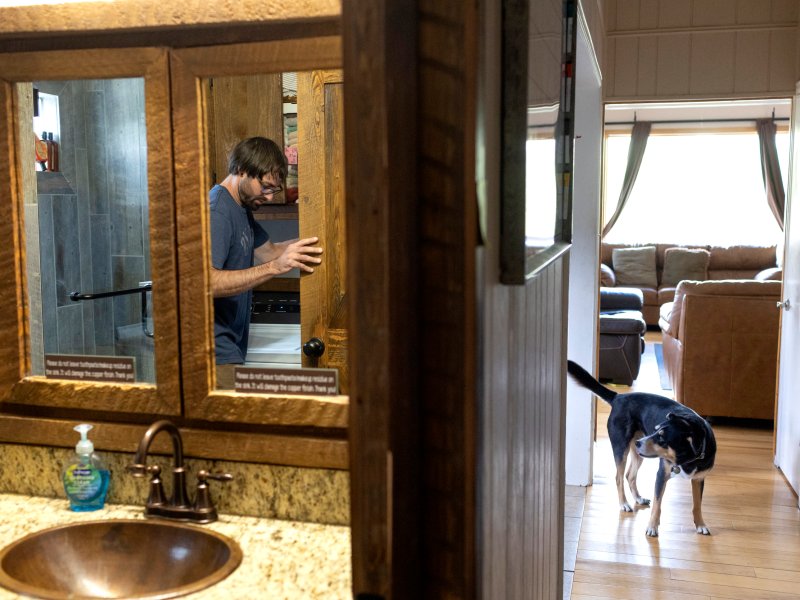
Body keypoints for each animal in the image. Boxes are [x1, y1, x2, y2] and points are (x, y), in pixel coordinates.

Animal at [564, 358, 716, 536]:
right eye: (656, 429)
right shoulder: (661, 474)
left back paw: (638, 498)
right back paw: (624, 504)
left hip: (638, 454)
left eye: (662, 438)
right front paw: (652, 527)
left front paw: (701, 524)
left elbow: (697, 505)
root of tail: (618, 397)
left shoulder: (698, 479)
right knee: (619, 477)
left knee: (630, 475)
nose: (639, 442)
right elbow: (657, 505)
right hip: (621, 447)